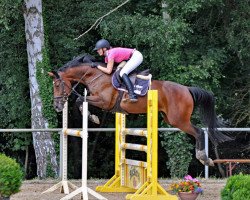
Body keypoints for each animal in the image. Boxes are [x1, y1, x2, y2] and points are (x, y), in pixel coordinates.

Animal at [47, 55, 231, 166]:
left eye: (56, 85)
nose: (57, 107)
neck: (96, 76)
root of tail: (187, 89)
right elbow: (79, 101)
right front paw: (91, 116)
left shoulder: (104, 101)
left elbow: (79, 100)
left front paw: (92, 117)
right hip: (171, 118)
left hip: (178, 119)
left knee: (198, 132)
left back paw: (204, 158)